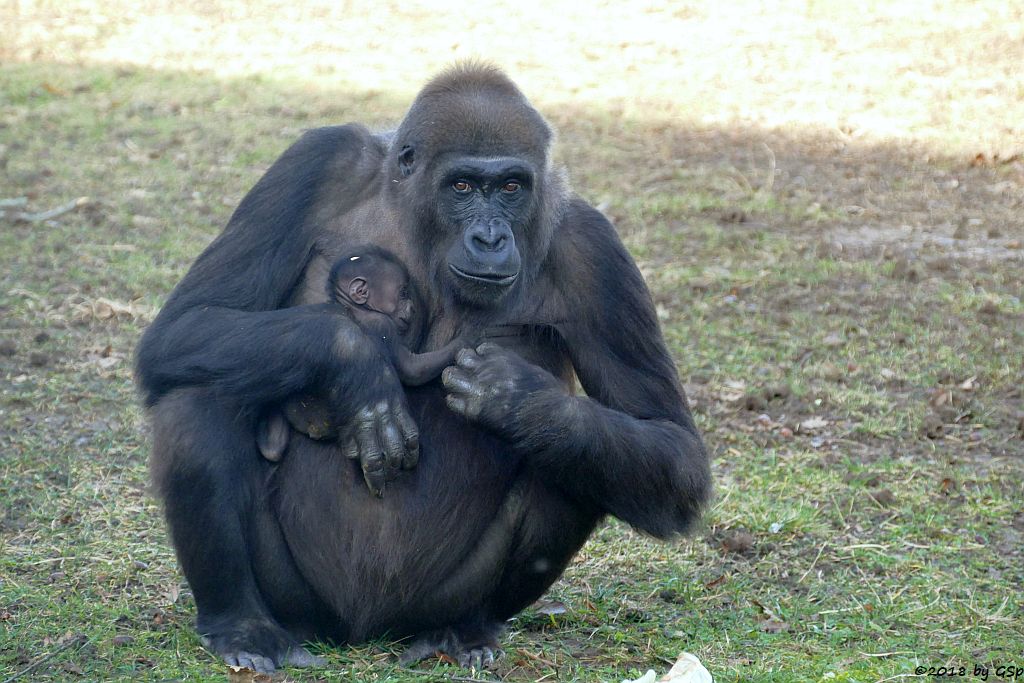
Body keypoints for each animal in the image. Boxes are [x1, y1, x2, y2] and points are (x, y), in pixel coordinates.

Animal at [256, 246, 468, 464]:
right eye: (403, 293)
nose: (412, 307)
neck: (352, 306)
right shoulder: (382, 324)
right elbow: (412, 369)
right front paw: (466, 339)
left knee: (274, 446)